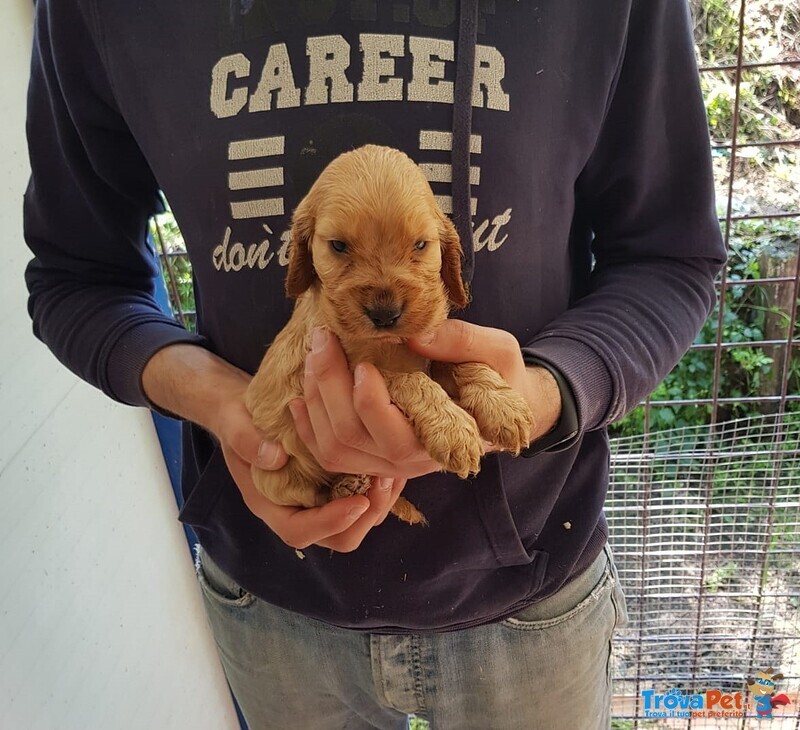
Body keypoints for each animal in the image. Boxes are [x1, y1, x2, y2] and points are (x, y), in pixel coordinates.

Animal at [244, 145, 532, 524]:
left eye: (421, 245)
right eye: (338, 246)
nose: (385, 314)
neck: (390, 343)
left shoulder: (428, 349)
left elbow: (461, 363)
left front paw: (503, 405)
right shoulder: (355, 370)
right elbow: (407, 378)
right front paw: (452, 428)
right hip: (272, 477)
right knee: (314, 497)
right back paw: (347, 486)